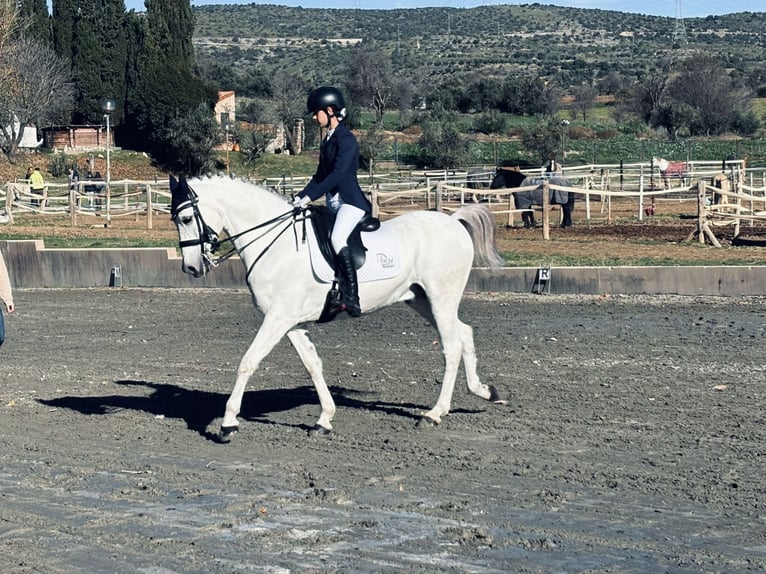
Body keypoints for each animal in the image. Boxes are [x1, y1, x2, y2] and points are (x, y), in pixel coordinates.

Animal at [171, 176, 508, 440]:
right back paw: (484, 391)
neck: (278, 246)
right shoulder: (291, 322)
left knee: (451, 345)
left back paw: (434, 413)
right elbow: (312, 365)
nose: (191, 268)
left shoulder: (278, 318)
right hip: (421, 299)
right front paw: (324, 419)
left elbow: (248, 362)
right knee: (464, 333)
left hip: (441, 297)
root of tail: (452, 220)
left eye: (186, 219)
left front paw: (228, 423)